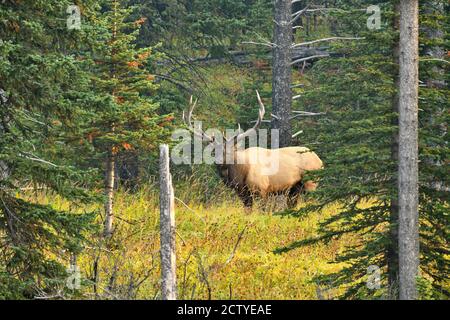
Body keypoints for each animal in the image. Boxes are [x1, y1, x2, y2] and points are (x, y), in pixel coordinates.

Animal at [183, 91, 324, 209]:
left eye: (230, 151)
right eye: (213, 151)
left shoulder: (262, 190)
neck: (240, 175)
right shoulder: (243, 195)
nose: (218, 161)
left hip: (311, 183)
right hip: (295, 189)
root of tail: (320, 161)